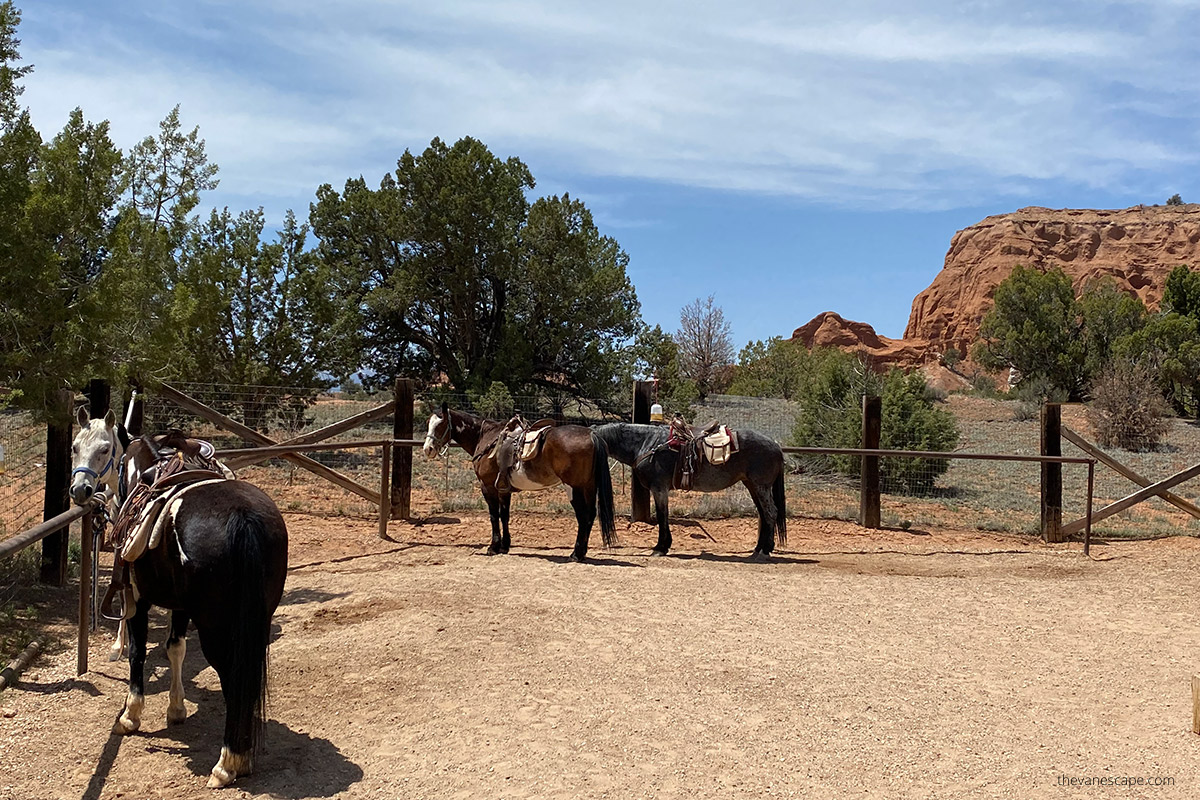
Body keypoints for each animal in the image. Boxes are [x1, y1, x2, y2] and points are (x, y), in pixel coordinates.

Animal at [70, 422, 288, 791]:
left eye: (105, 450)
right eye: (75, 447)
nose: (82, 491)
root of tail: (244, 519)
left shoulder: (138, 601)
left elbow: (138, 653)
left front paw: (130, 716)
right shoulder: (181, 606)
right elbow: (175, 648)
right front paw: (176, 709)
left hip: (215, 626)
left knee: (234, 679)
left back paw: (228, 763)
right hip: (256, 619)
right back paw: (241, 758)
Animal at [422, 400, 614, 563]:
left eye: (441, 424)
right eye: (428, 423)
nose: (428, 449)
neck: (485, 437)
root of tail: (591, 434)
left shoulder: (488, 487)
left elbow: (494, 516)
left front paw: (493, 547)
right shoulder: (503, 489)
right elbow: (504, 515)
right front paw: (504, 546)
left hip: (573, 487)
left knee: (583, 516)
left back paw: (576, 554)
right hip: (589, 486)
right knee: (590, 515)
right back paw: (582, 553)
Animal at [592, 422, 787, 561]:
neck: (647, 444)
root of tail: (776, 446)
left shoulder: (659, 488)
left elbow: (662, 516)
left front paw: (660, 548)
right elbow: (664, 516)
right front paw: (664, 546)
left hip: (760, 486)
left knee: (771, 513)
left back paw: (765, 551)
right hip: (752, 485)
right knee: (764, 514)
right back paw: (758, 549)